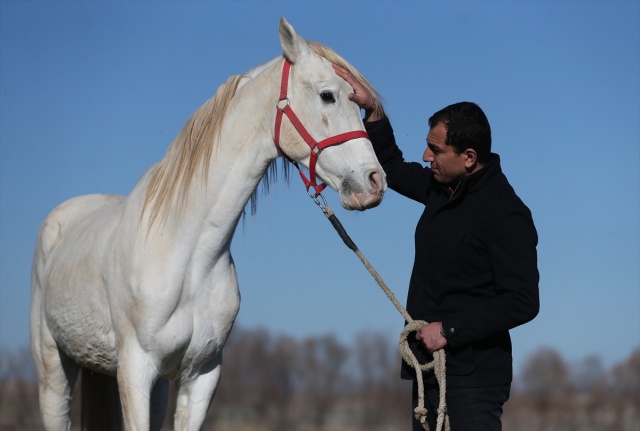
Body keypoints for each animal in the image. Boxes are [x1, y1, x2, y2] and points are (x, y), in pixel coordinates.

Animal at [30, 17, 384, 431]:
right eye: (328, 95)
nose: (374, 182)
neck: (187, 254)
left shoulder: (200, 376)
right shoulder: (134, 369)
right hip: (54, 370)